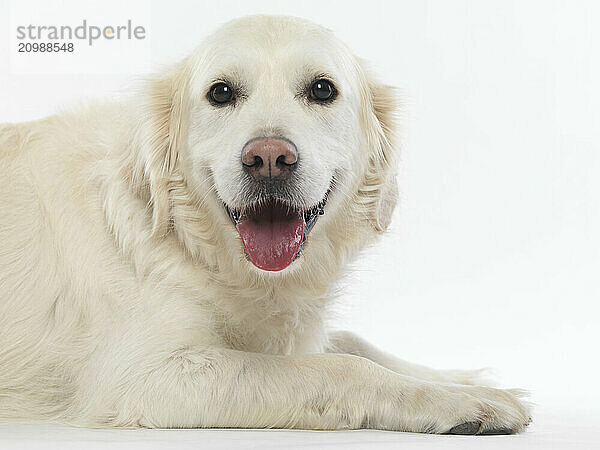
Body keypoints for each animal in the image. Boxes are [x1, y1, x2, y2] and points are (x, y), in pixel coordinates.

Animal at [0, 15, 528, 434]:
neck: (200, 248)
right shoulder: (144, 377)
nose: (270, 159)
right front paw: (459, 402)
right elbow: (338, 367)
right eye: (220, 92)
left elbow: (353, 341)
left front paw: (460, 378)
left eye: (322, 89)